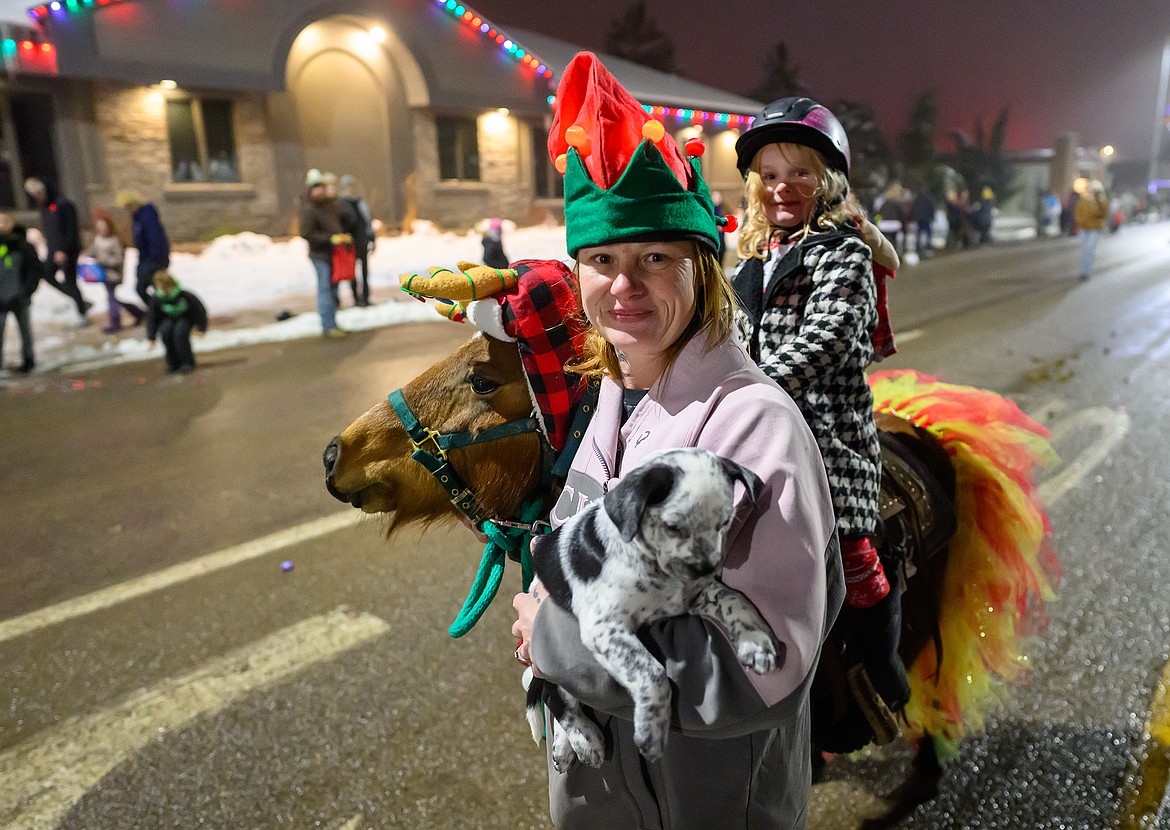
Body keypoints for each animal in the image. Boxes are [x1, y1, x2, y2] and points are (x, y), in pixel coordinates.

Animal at [528, 447, 776, 772]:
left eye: (724, 523)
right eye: (672, 527)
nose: (706, 569)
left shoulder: (697, 595)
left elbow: (736, 600)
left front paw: (757, 643)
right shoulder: (604, 627)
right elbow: (652, 672)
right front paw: (652, 730)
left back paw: (566, 745)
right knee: (554, 695)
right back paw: (584, 739)